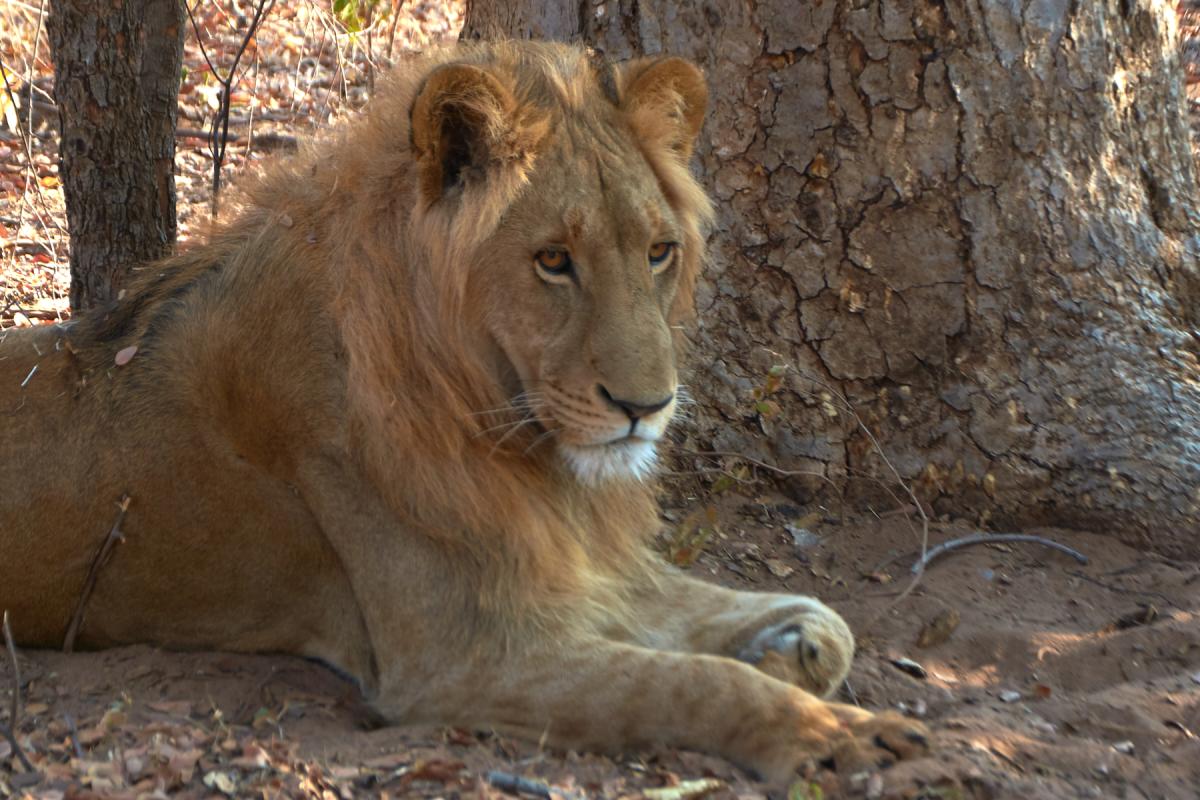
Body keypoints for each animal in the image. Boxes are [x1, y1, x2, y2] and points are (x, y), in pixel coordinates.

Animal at [0, 41, 928, 781]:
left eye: (660, 252)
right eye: (553, 261)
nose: (647, 407)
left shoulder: (570, 564)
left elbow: (823, 621)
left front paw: (794, 649)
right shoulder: (460, 658)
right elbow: (690, 681)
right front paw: (834, 734)